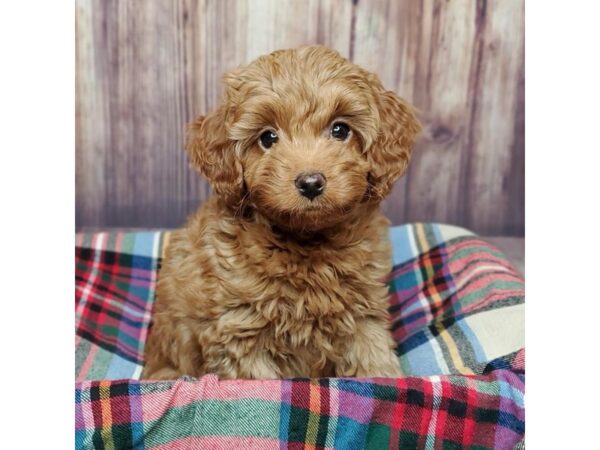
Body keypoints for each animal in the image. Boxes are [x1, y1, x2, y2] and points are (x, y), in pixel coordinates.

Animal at [142, 45, 420, 380]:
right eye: (267, 138)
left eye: (340, 130)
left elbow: (373, 360)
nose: (310, 182)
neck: (307, 244)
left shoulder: (363, 313)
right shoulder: (240, 329)